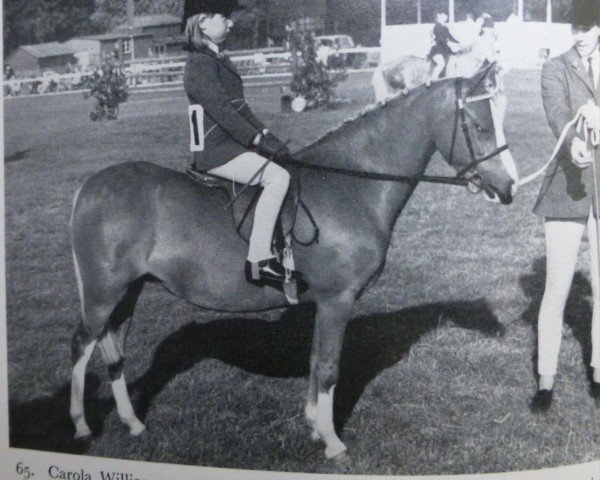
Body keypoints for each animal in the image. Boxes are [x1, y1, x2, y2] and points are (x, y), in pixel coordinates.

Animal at [70, 62, 516, 462]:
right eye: (480, 126)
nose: (508, 187)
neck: (351, 184)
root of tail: (88, 188)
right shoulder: (338, 299)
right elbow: (329, 366)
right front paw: (332, 442)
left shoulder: (325, 303)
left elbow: (316, 361)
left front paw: (314, 425)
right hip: (103, 294)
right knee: (82, 345)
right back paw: (81, 426)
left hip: (128, 292)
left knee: (113, 350)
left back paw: (132, 422)